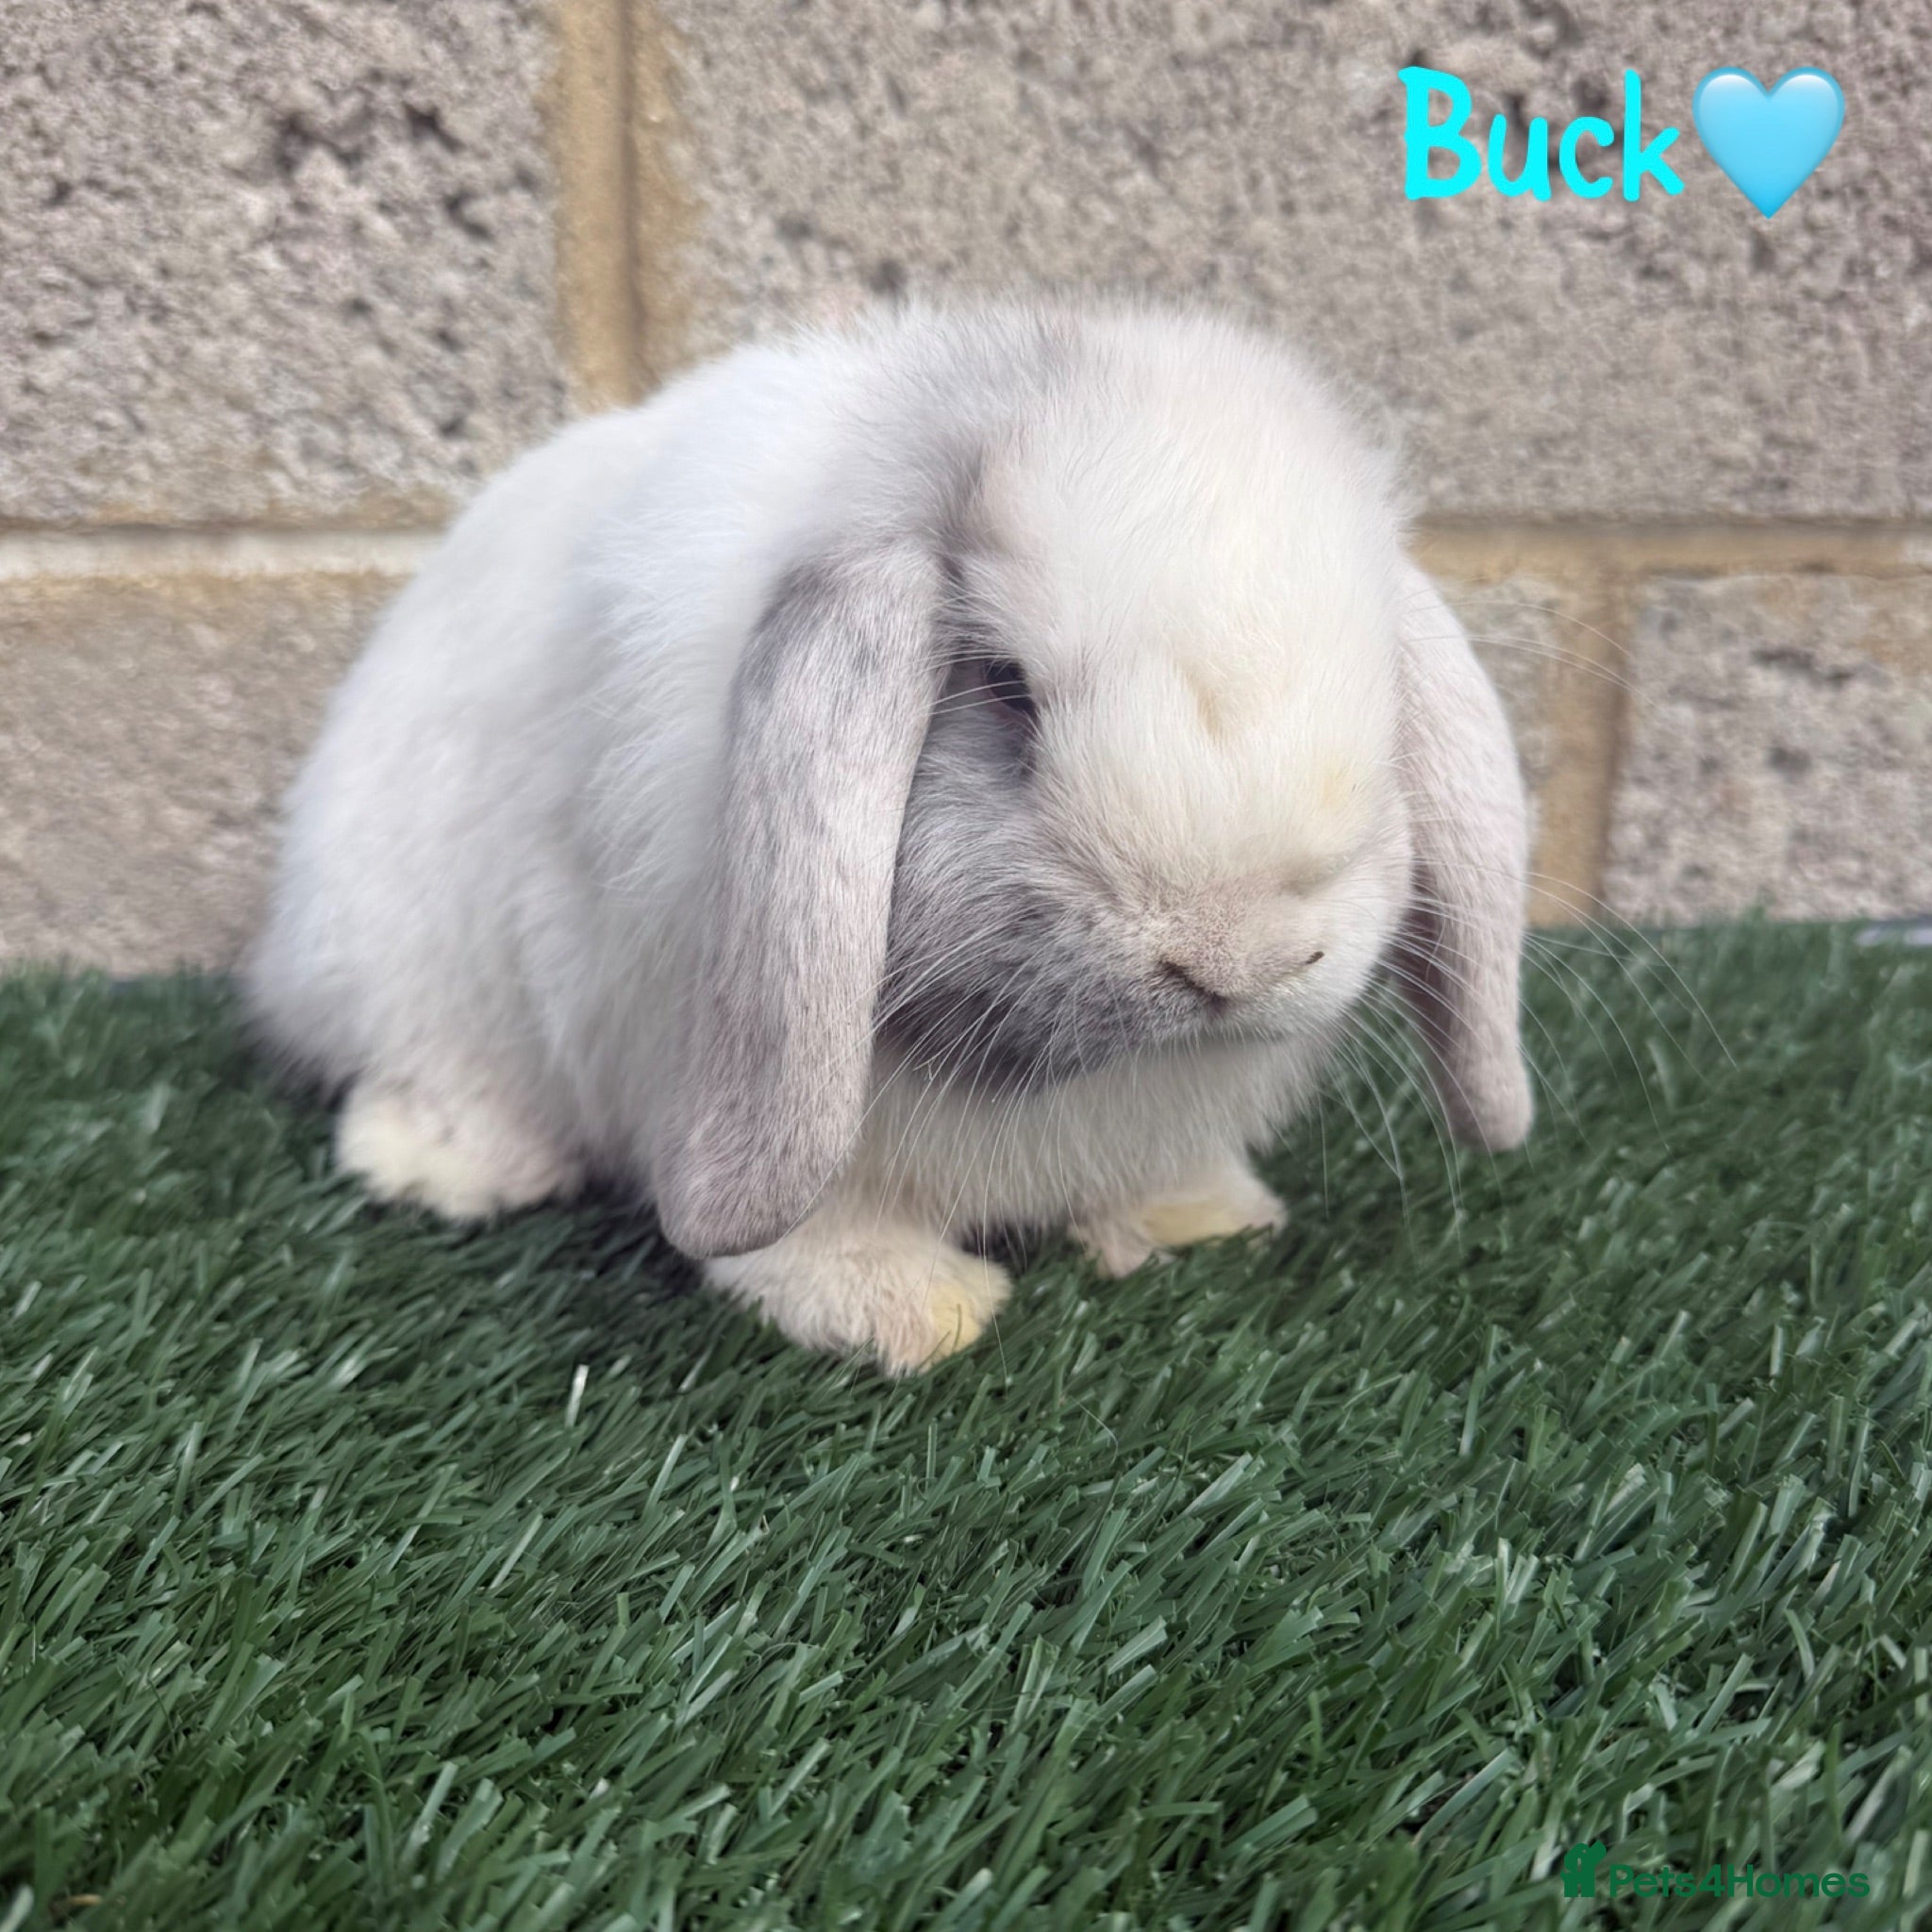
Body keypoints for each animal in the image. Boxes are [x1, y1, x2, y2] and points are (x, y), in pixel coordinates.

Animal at [246, 296, 1533, 1374]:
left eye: (1379, 692)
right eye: (1005, 686)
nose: (1237, 959)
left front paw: (1200, 1217)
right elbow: (805, 1226)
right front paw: (906, 1310)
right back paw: (445, 1165)